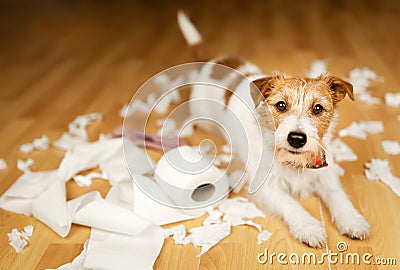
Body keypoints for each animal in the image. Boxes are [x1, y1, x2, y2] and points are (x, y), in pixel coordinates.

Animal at [177, 11, 370, 247]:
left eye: (317, 108)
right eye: (281, 105)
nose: (296, 138)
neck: (294, 163)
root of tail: (213, 62)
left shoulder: (326, 175)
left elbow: (338, 195)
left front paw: (352, 220)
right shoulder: (267, 188)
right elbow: (291, 203)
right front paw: (309, 227)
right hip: (203, 118)